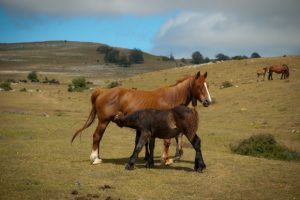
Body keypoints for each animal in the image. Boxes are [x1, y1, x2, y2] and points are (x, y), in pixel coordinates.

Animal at [72, 71, 213, 165]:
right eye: (199, 86)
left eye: (207, 85)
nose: (208, 101)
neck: (171, 97)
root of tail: (102, 91)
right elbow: (167, 142)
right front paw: (166, 159)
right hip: (103, 121)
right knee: (97, 136)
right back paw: (95, 158)